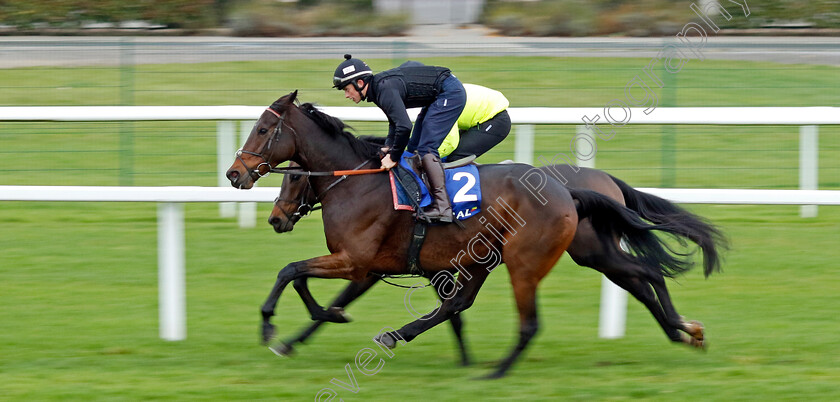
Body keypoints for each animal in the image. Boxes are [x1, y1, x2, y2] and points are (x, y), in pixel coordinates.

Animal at [226, 90, 724, 376]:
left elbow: (292, 271)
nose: (235, 175)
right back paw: (685, 330)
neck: (360, 180)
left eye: (264, 129)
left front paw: (274, 328)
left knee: (560, 308)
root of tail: (574, 189)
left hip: (532, 258)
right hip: (574, 252)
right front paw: (307, 329)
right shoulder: (379, 266)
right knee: (643, 276)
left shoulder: (356, 261)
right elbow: (317, 288)